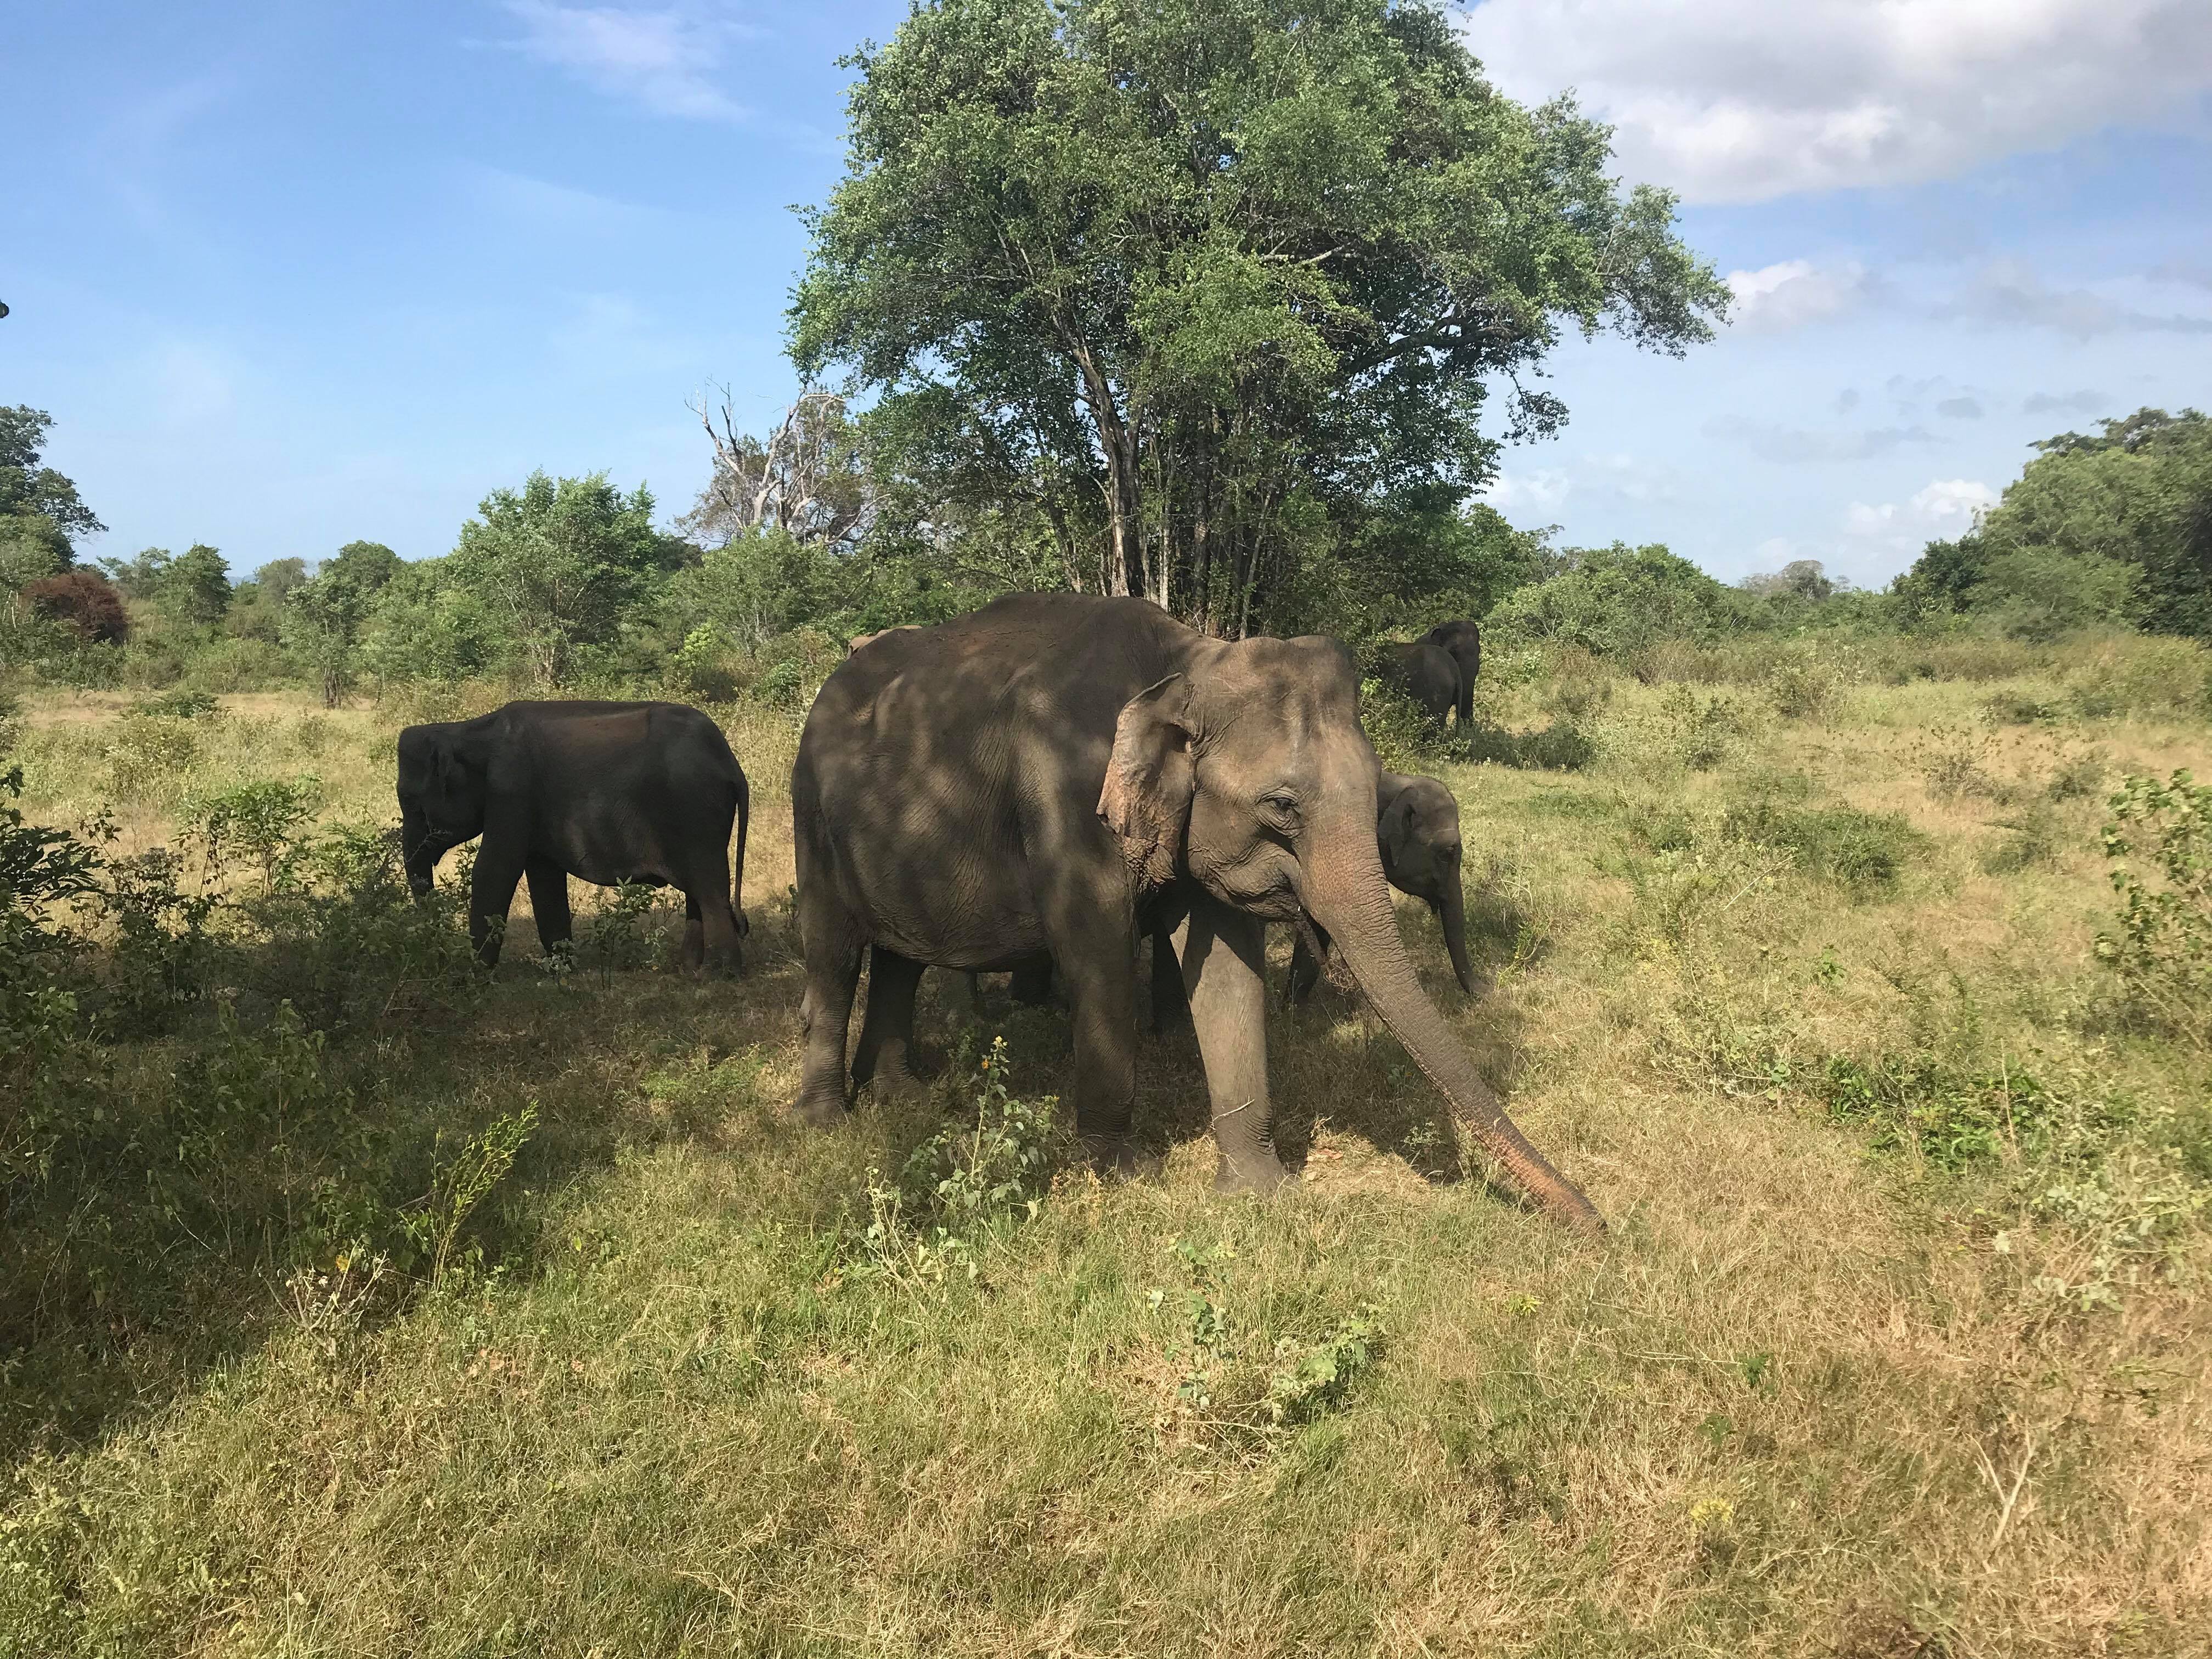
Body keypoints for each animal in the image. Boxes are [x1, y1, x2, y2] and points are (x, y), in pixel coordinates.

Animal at [393, 703, 747, 973]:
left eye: (412, 804)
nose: (440, 960)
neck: (466, 730)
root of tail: (731, 763)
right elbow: (544, 877)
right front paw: (562, 970)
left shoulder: (510, 790)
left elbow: (495, 870)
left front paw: (473, 976)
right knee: (698, 890)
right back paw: (689, 970)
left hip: (696, 811)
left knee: (709, 888)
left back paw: (718, 974)